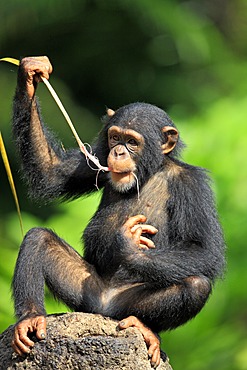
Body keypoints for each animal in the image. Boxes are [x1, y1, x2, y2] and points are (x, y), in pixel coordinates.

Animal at [10, 56, 225, 366]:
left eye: (132, 142)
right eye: (114, 137)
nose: (119, 152)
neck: (150, 172)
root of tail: (104, 308)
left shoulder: (193, 185)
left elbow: (204, 249)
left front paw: (128, 244)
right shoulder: (96, 157)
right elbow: (53, 172)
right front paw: (30, 73)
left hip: (127, 305)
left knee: (197, 284)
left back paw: (145, 328)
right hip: (84, 291)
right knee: (39, 238)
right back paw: (30, 318)